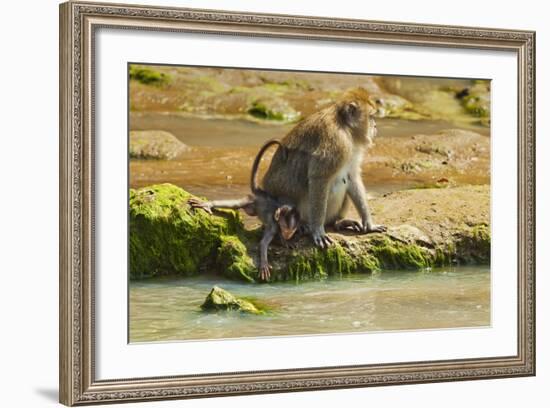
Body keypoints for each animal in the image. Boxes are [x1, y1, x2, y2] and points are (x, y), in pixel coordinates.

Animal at [190, 139, 302, 280]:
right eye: (285, 229)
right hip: (251, 201)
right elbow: (263, 243)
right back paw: (208, 204)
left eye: (291, 231)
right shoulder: (274, 225)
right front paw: (264, 263)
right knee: (236, 204)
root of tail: (261, 193)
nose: (288, 235)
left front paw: (285, 241)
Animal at [260, 88, 386, 249]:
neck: (345, 127)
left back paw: (337, 222)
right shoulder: (336, 141)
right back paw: (302, 225)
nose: (375, 126)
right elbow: (319, 178)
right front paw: (318, 231)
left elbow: (352, 177)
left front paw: (369, 224)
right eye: (371, 117)